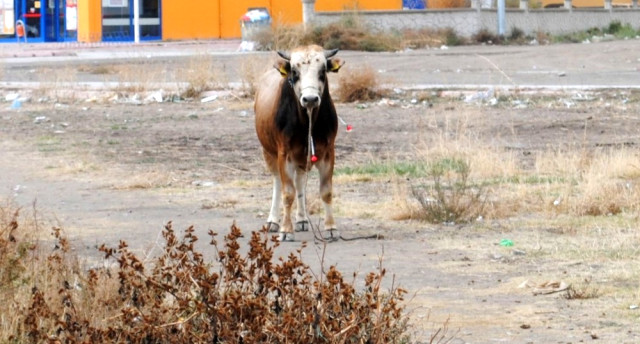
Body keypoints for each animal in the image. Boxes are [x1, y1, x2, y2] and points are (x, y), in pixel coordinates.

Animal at [255, 43, 344, 242]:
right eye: (294, 72)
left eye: (323, 70)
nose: (310, 99)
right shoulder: (284, 154)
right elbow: (288, 193)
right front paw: (286, 230)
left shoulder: (328, 152)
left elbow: (326, 191)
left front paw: (331, 227)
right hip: (268, 153)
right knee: (278, 182)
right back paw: (273, 221)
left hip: (302, 158)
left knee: (300, 181)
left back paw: (302, 219)